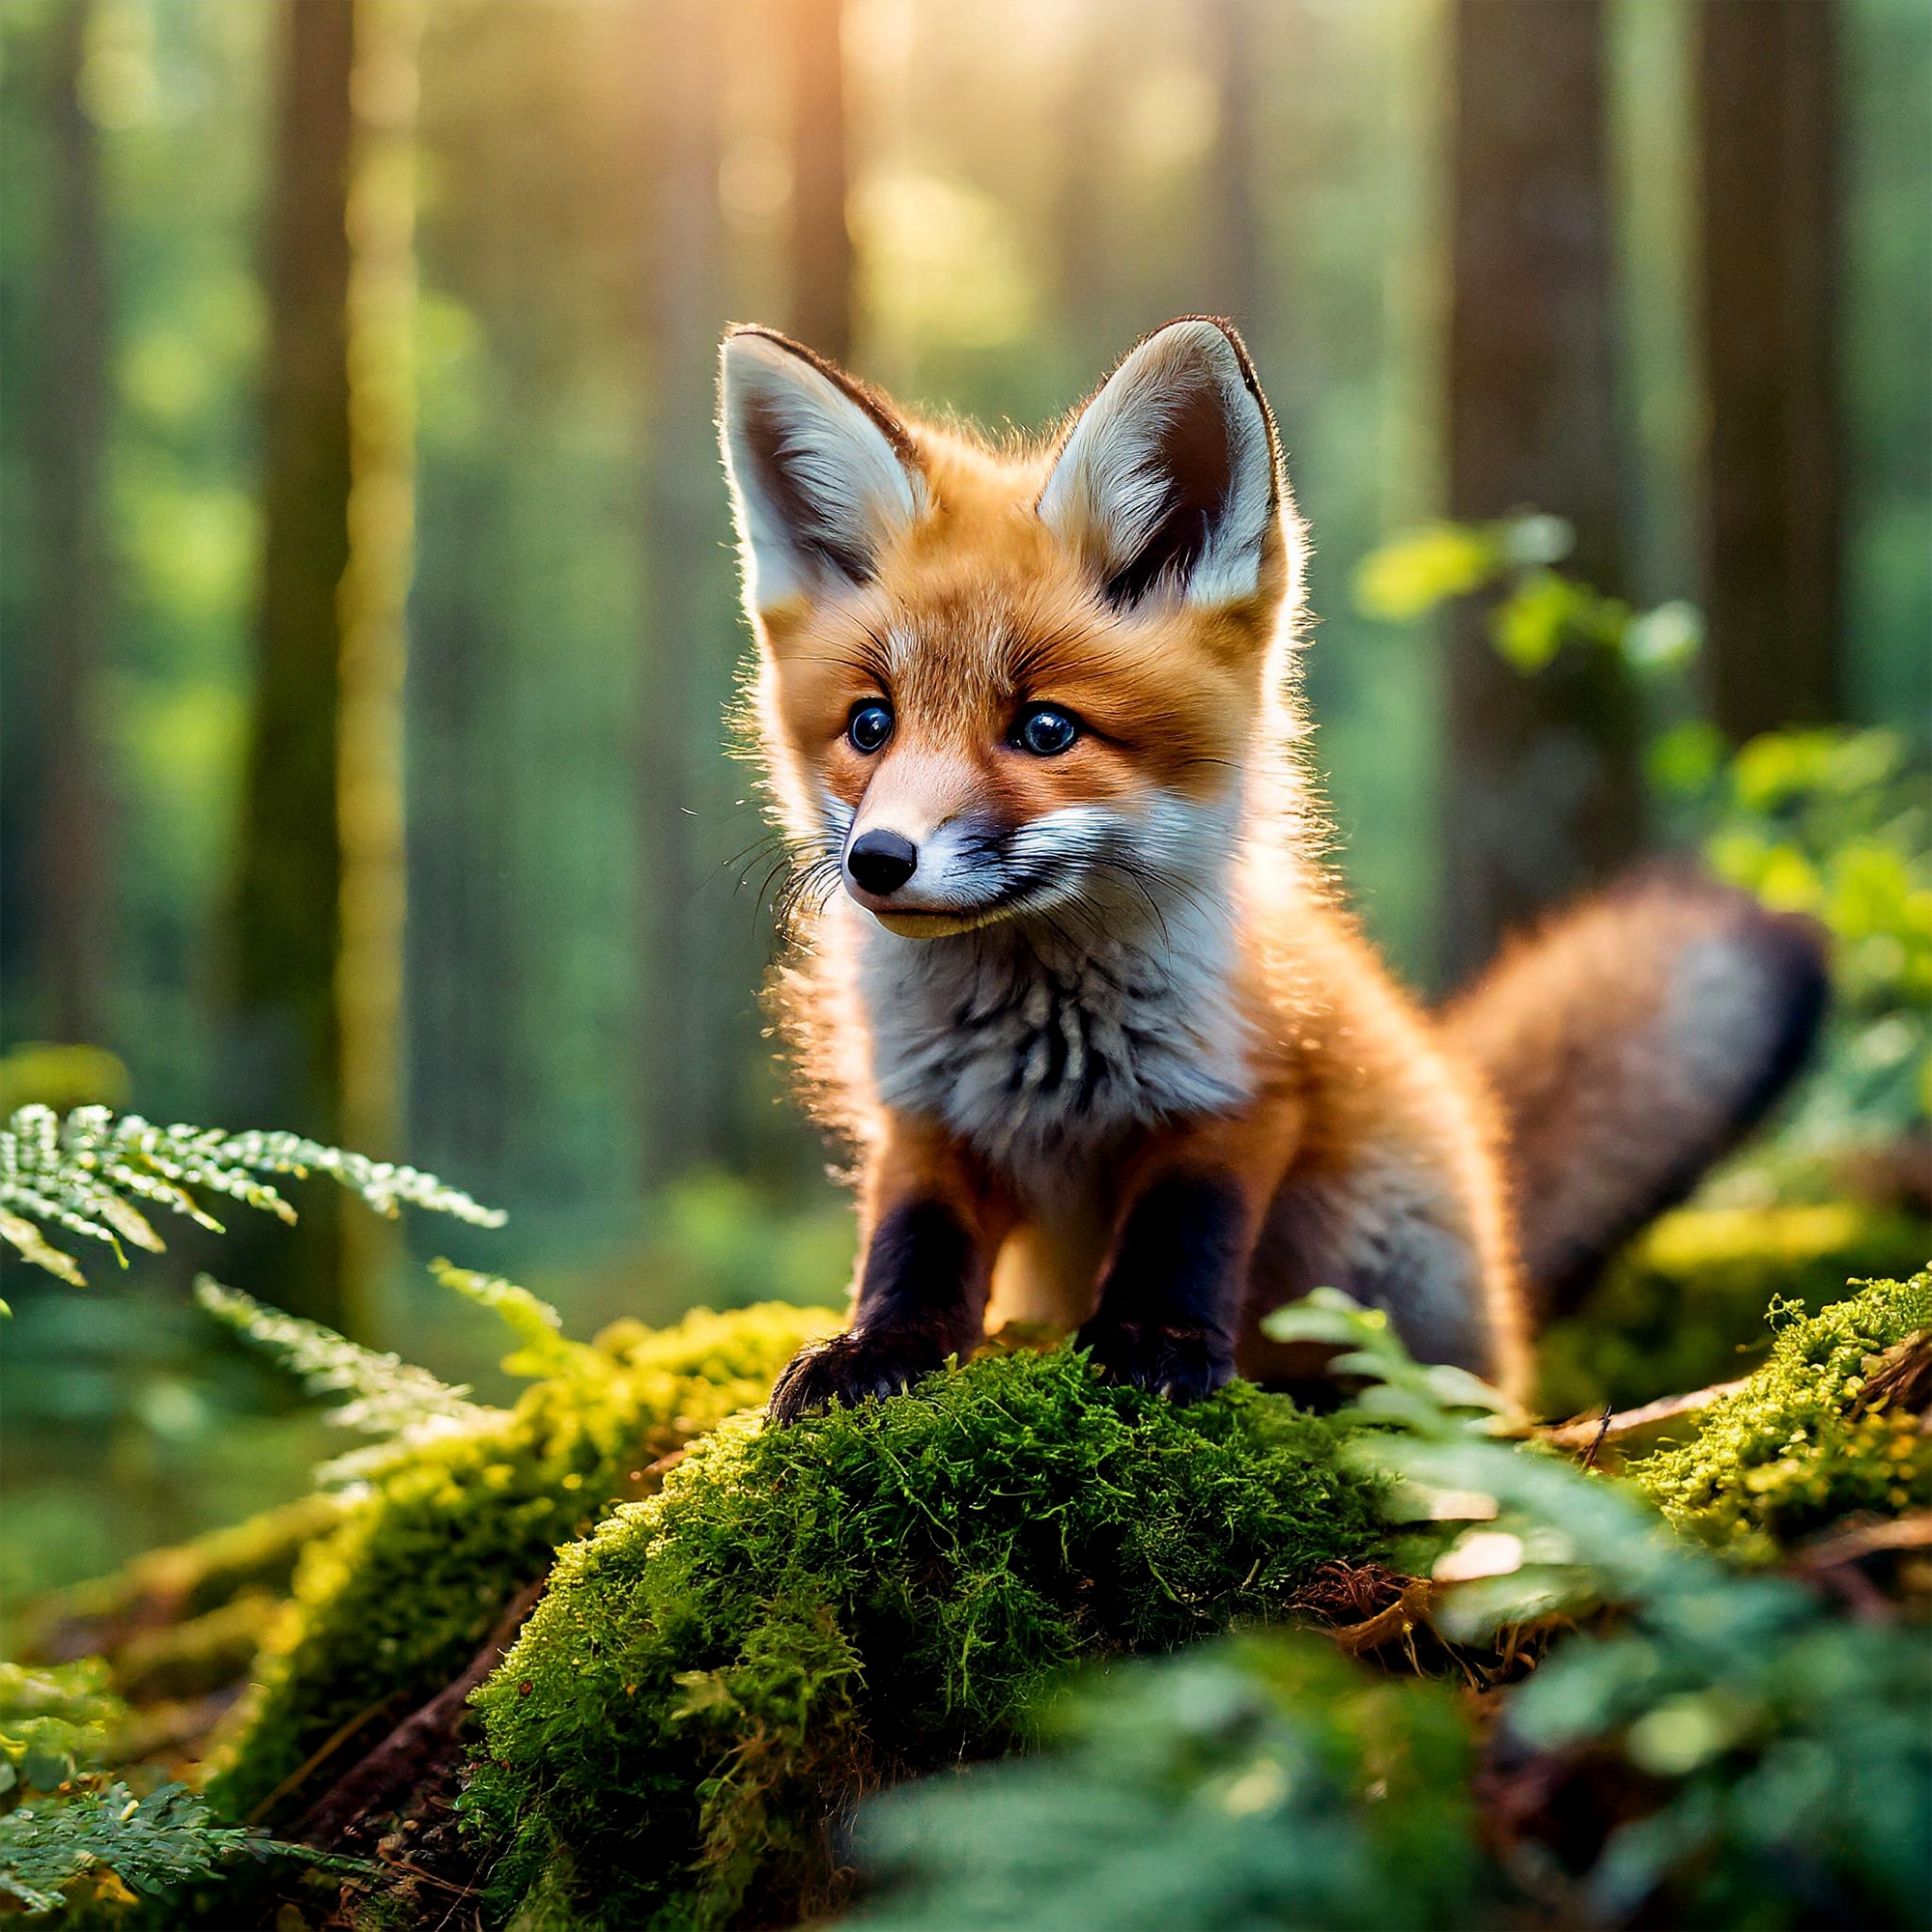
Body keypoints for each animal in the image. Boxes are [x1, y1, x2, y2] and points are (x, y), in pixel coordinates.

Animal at [716, 315, 1827, 1422]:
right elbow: (911, 1244)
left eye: (1045, 729)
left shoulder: (1240, 1087)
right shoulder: (923, 1112)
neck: (1041, 1043)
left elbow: (1183, 1236)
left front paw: (1151, 1349)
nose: (878, 860)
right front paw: (877, 1349)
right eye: (871, 725)